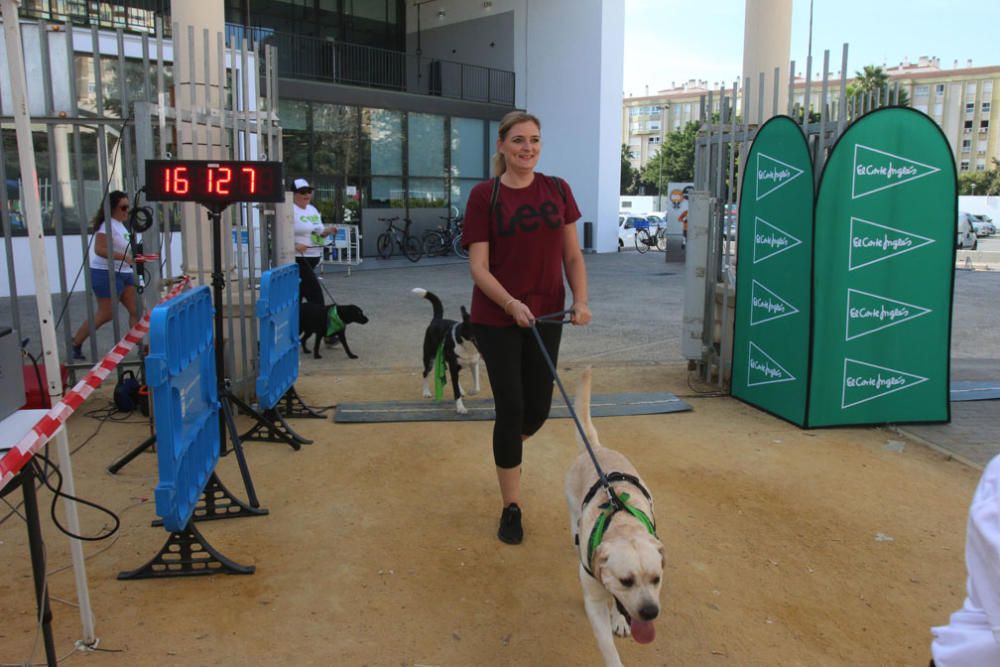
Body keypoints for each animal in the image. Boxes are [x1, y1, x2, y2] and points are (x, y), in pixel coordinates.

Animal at [564, 368, 664, 664]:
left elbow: (617, 605)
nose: (650, 613)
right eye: (626, 581)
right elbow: (607, 646)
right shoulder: (594, 600)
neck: (621, 524)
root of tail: (596, 448)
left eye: (657, 578)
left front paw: (619, 618)